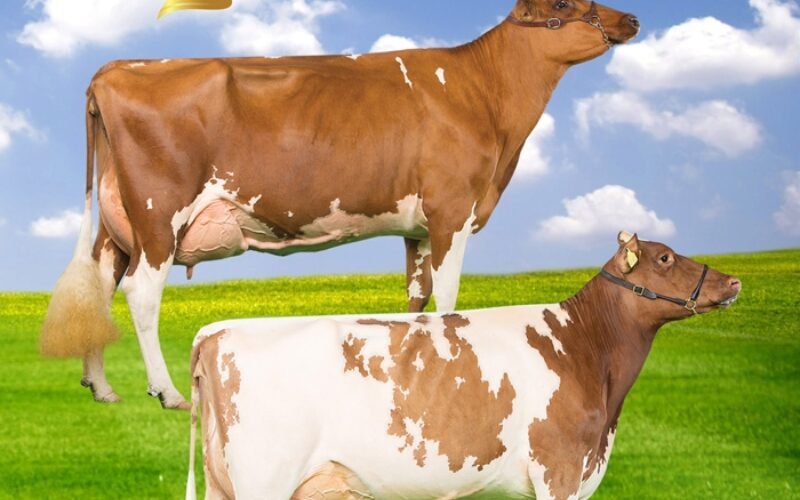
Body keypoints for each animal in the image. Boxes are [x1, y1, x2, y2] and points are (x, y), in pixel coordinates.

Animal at [40, 0, 640, 409]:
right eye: (565, 5)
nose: (631, 19)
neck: (483, 95)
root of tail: (117, 67)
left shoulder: (418, 227)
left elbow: (418, 300)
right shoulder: (453, 210)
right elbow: (448, 300)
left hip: (119, 224)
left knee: (100, 286)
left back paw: (100, 386)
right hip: (158, 214)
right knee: (140, 293)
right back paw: (167, 392)